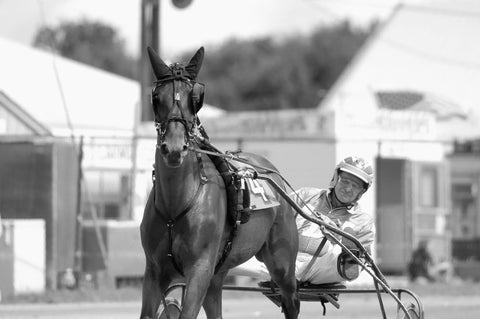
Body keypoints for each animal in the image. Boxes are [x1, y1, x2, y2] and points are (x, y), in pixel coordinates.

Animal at [139, 46, 300, 319]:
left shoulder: (200, 269)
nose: (174, 148)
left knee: (291, 299)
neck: (176, 205)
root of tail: (272, 172)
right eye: (156, 98)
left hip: (282, 261)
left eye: (195, 99)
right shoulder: (153, 271)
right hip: (219, 273)